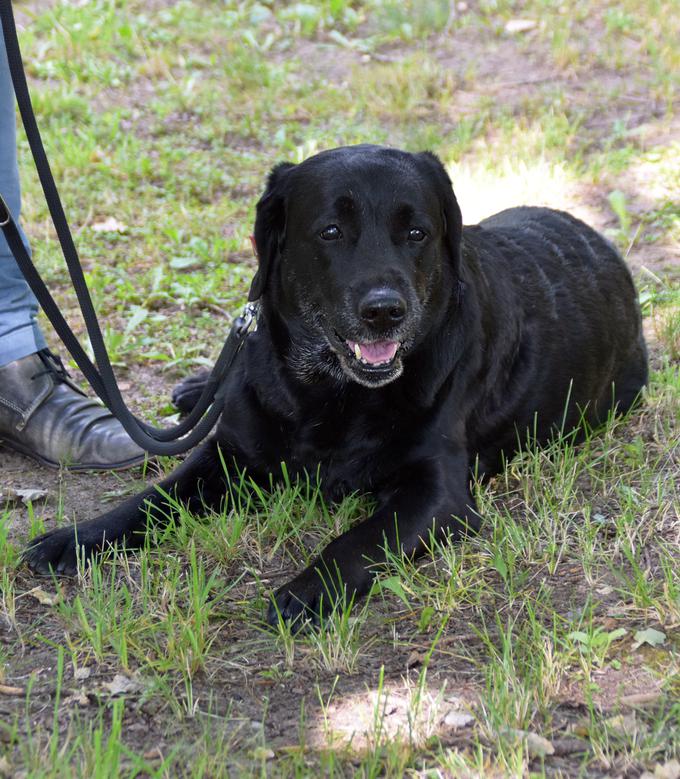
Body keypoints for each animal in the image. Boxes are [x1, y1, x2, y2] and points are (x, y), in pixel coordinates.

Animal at [22, 143, 648, 624]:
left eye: (416, 232)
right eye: (330, 231)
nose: (385, 311)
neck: (329, 392)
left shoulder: (437, 491)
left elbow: (360, 539)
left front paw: (305, 591)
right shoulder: (228, 455)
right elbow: (154, 499)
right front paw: (74, 538)